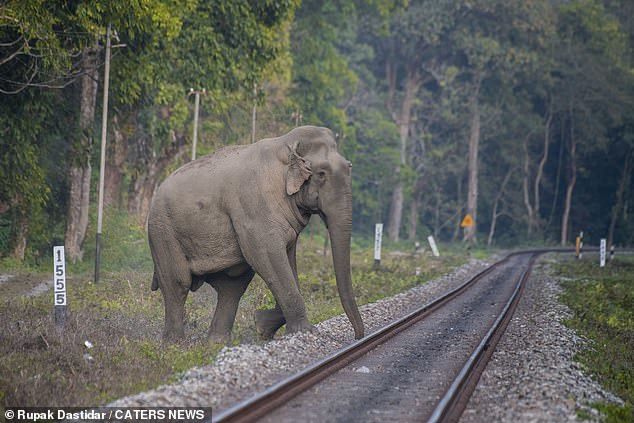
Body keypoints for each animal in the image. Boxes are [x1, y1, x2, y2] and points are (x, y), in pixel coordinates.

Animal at [148, 126, 362, 344]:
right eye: (321, 174)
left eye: (349, 167)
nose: (357, 337)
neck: (284, 144)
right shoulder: (254, 208)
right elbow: (266, 256)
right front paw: (304, 332)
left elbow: (287, 261)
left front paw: (261, 326)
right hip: (162, 230)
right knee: (178, 283)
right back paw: (175, 345)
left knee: (232, 287)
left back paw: (215, 344)